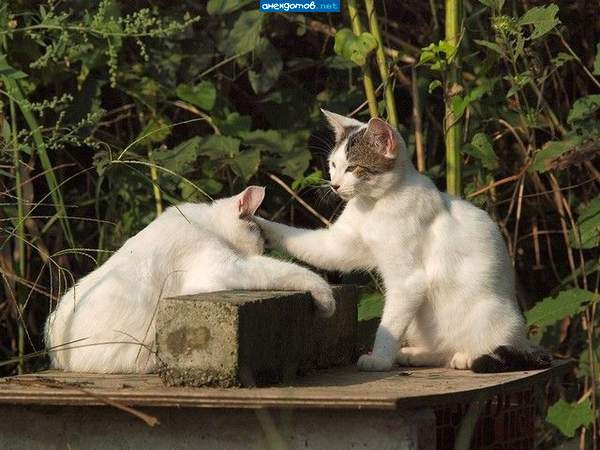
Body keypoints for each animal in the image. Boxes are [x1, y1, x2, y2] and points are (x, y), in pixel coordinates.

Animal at [45, 186, 338, 372]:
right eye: (260, 238)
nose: (263, 248)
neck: (205, 223)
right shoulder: (222, 269)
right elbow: (285, 271)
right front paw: (326, 298)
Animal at [256, 109, 548, 372]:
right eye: (333, 165)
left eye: (353, 167)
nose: (334, 185)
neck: (374, 205)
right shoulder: (339, 244)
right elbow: (303, 241)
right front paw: (256, 221)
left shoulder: (409, 282)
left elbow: (389, 325)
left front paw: (379, 359)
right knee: (442, 351)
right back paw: (415, 355)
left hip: (491, 316)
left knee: (491, 345)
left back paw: (466, 356)